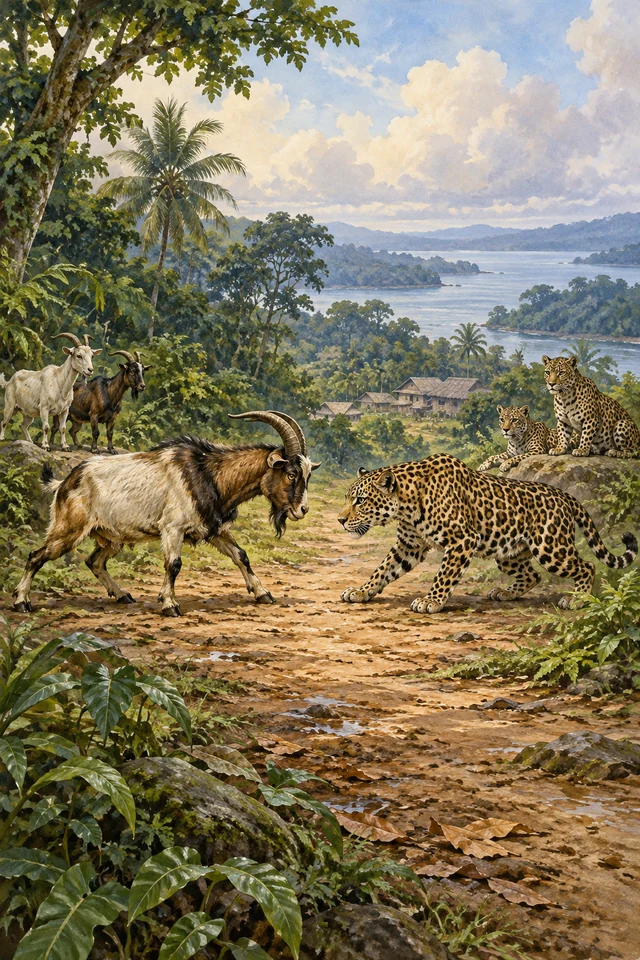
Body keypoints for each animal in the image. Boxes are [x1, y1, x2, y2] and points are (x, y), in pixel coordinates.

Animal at [13, 411, 321, 617]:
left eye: (306, 474)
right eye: (291, 473)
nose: (302, 510)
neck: (209, 473)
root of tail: (65, 481)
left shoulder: (215, 529)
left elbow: (241, 556)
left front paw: (263, 593)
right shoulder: (173, 528)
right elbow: (174, 564)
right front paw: (170, 604)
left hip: (111, 537)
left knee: (94, 561)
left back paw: (122, 595)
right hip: (68, 529)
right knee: (36, 556)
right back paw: (21, 602)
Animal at [338, 454, 637, 614]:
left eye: (360, 501)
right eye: (347, 498)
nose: (340, 520)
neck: (407, 503)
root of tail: (564, 495)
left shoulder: (462, 540)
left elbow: (444, 575)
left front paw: (431, 601)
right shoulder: (409, 545)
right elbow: (382, 570)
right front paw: (361, 591)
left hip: (551, 547)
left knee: (586, 566)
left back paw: (577, 598)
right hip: (508, 553)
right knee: (533, 575)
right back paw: (506, 593)